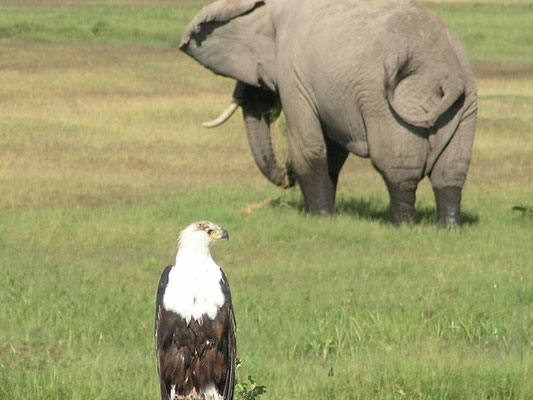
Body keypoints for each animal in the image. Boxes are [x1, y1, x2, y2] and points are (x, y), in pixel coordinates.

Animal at [179, 0, 474, 227]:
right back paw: (449, 227)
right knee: (450, 172)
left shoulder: (293, 75)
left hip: (393, 104)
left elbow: (308, 147)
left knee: (397, 168)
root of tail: (449, 78)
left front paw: (319, 218)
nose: (285, 177)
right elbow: (333, 153)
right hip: (465, 107)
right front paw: (327, 216)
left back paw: (401, 226)